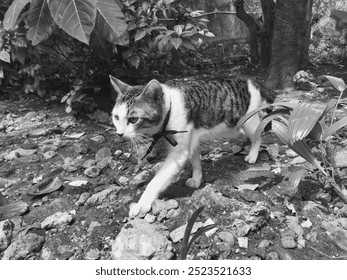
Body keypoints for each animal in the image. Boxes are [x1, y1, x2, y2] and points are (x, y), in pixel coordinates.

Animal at [110, 75, 276, 218]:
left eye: (133, 119)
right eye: (116, 117)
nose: (119, 134)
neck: (170, 109)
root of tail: (249, 80)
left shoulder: (179, 152)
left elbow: (156, 181)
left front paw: (141, 203)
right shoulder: (192, 139)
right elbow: (195, 160)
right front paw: (197, 178)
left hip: (249, 121)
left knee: (259, 135)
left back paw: (253, 155)